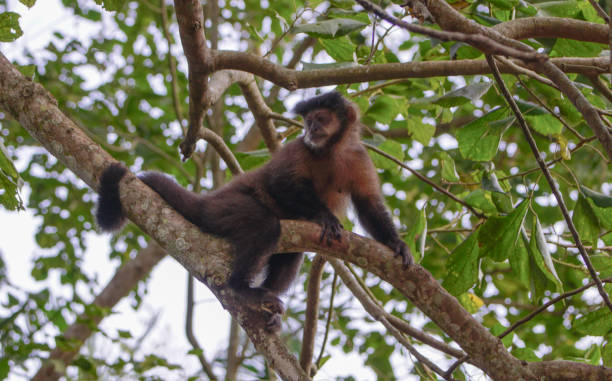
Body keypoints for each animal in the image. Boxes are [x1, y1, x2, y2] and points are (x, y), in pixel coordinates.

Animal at [95, 92, 412, 330]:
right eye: (308, 122)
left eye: (320, 119)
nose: (310, 130)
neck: (331, 151)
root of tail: (209, 200)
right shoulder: (299, 149)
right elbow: (279, 184)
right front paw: (324, 216)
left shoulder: (359, 156)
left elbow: (369, 203)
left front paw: (396, 244)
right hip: (226, 208)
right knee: (266, 226)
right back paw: (241, 289)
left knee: (291, 253)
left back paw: (267, 299)